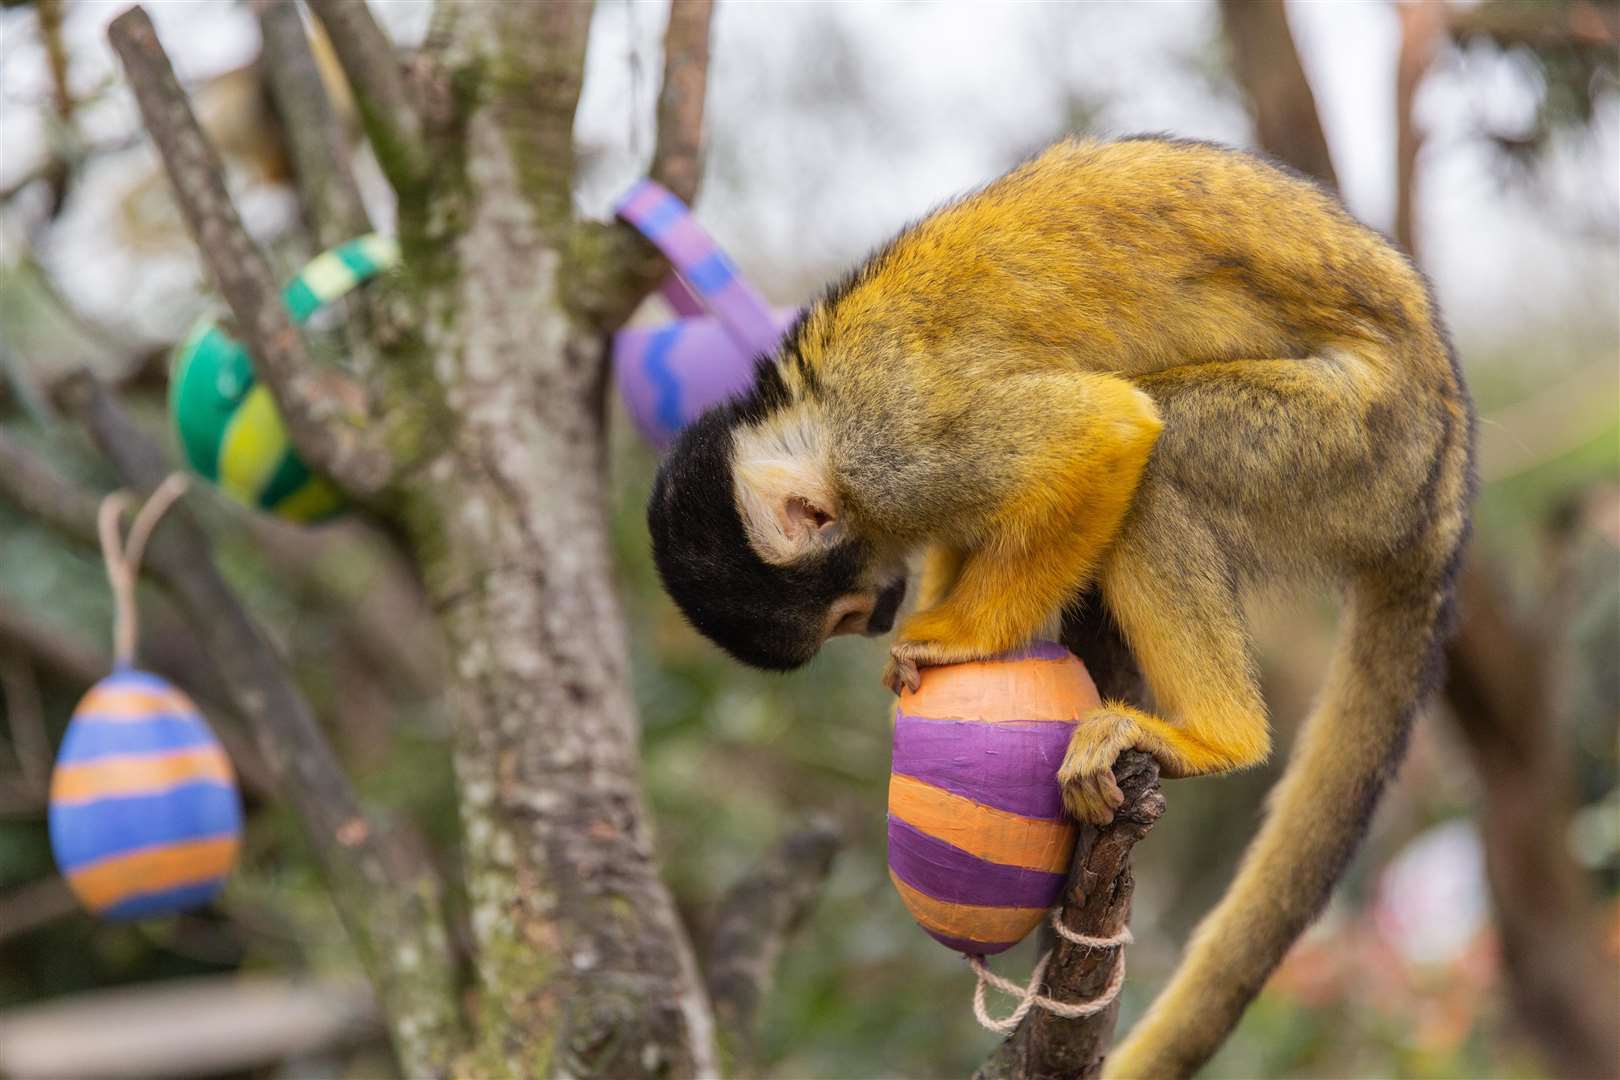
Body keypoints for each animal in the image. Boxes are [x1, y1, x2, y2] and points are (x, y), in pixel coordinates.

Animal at [644, 139, 1470, 1075]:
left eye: (847, 615)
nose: (882, 616)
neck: (810, 417)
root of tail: (1444, 461)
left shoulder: (894, 450)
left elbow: (1105, 430)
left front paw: (956, 639)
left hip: (1357, 444)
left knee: (1168, 449)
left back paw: (1215, 737)